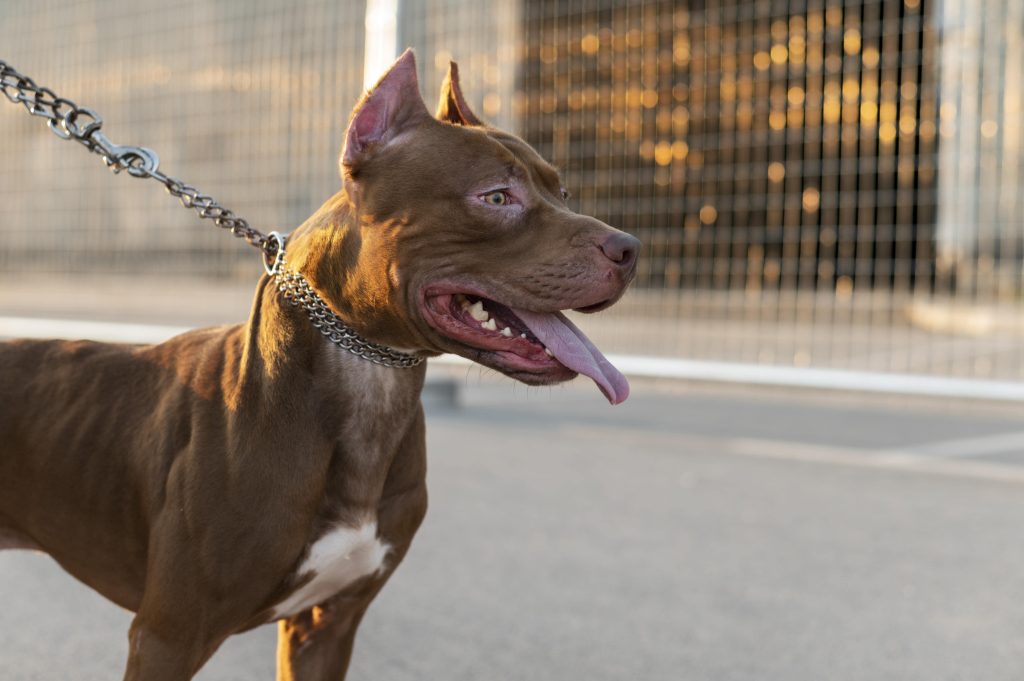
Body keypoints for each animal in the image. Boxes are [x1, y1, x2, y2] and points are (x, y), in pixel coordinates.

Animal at [0, 51, 638, 679]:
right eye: (497, 197)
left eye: (563, 192)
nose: (631, 248)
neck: (373, 378)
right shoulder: (168, 636)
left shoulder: (327, 626)